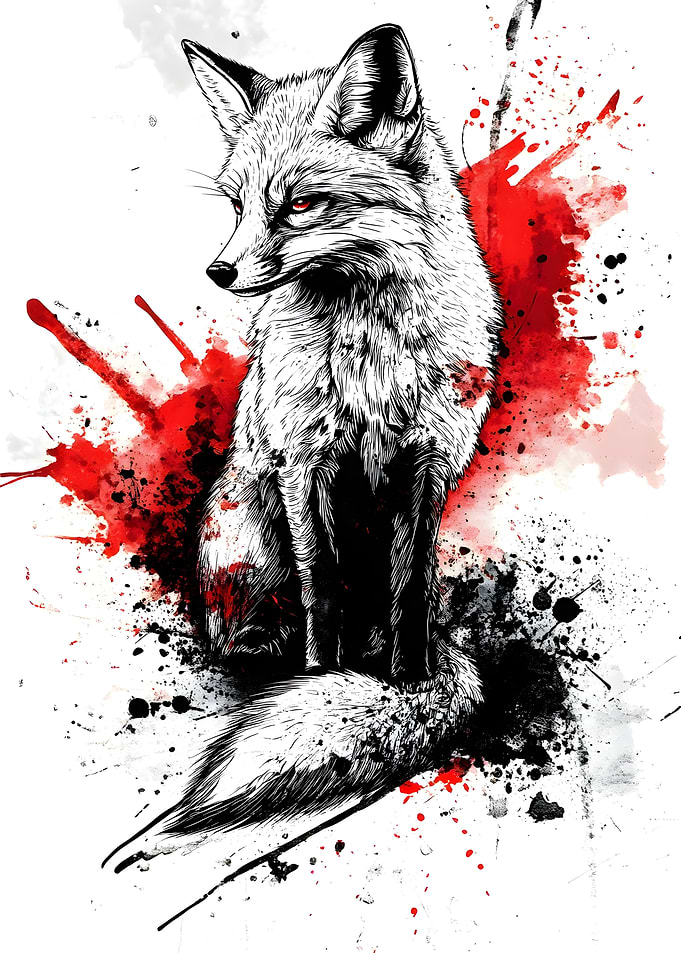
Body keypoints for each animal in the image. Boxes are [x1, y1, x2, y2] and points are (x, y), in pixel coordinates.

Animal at [103, 24, 502, 880]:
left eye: (298, 204)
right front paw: (324, 675)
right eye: (237, 204)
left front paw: (404, 677)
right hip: (245, 538)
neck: (368, 352)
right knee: (252, 622)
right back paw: (267, 653)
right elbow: (322, 586)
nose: (219, 270)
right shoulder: (304, 456)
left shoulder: (428, 459)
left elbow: (410, 586)